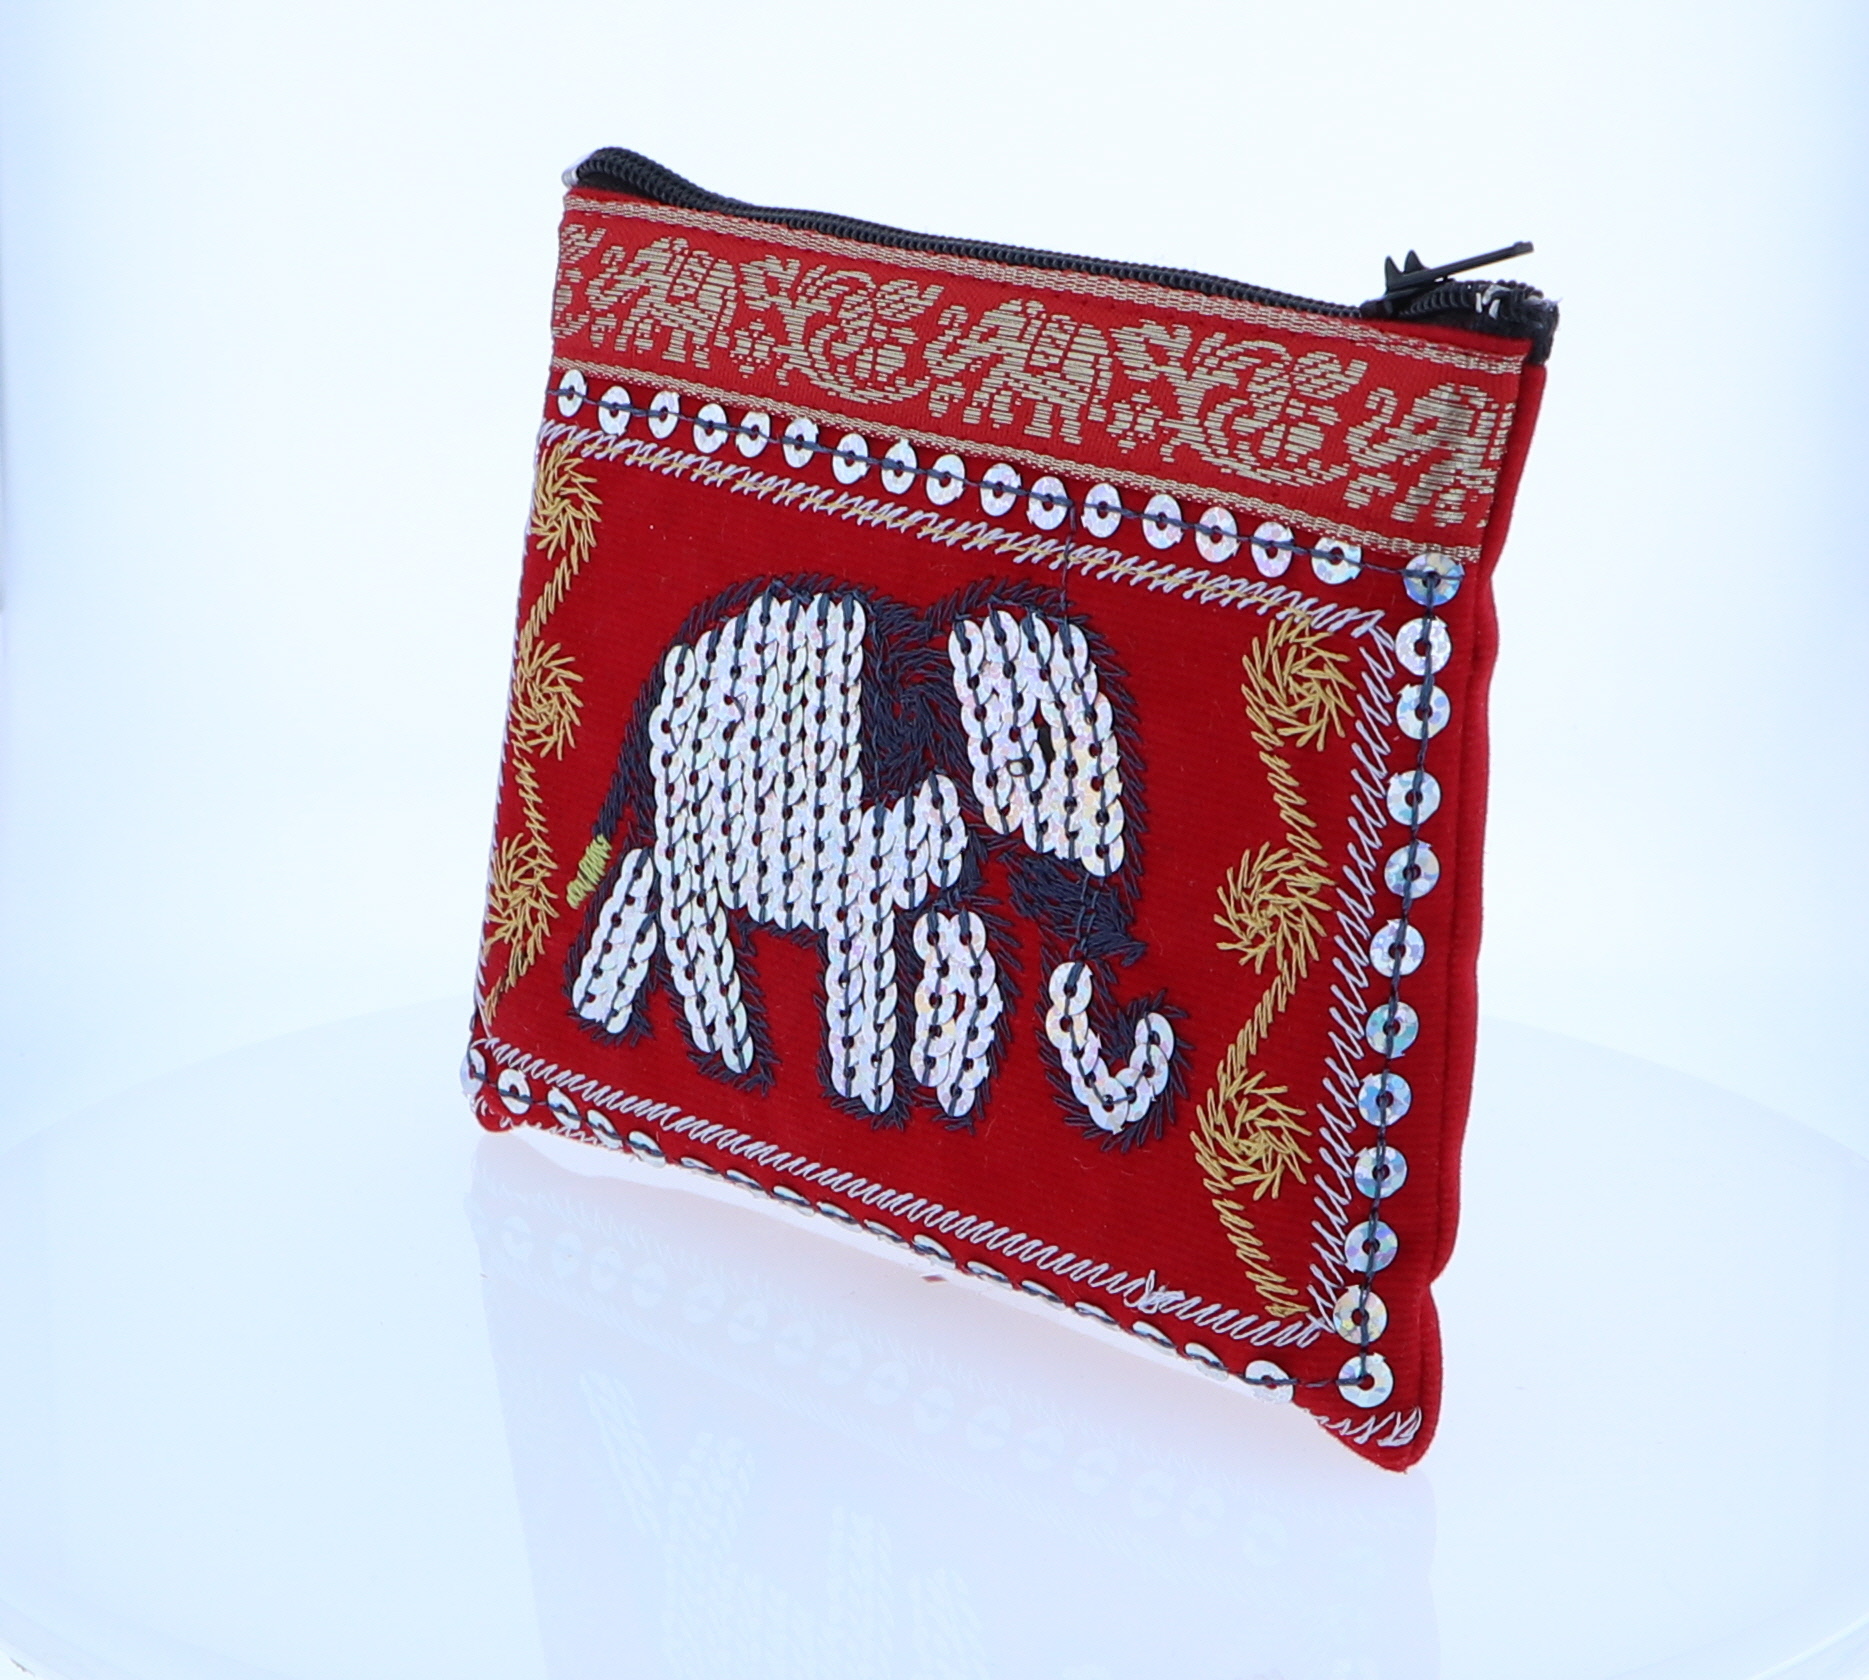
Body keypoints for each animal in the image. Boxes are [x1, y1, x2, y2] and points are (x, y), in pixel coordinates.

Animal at [566, 577, 1183, 1144]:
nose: (1141, 1025)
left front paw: (938, 1081)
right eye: (1039, 753)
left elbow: (957, 940)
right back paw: (723, 1054)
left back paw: (606, 1012)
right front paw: (870, 1094)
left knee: (646, 871)